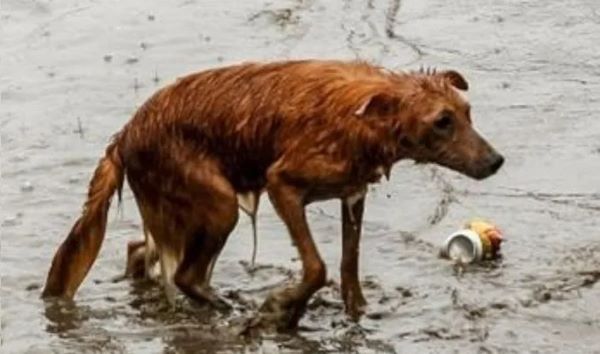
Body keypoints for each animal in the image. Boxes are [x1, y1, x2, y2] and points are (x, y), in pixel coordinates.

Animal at [41, 60, 502, 330]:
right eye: (442, 121)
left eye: (468, 113)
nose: (496, 160)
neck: (362, 121)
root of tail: (123, 136)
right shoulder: (282, 183)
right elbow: (316, 267)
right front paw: (282, 307)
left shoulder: (353, 194)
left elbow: (348, 267)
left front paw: (356, 314)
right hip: (219, 204)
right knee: (186, 275)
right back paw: (233, 309)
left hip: (181, 208)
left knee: (141, 250)